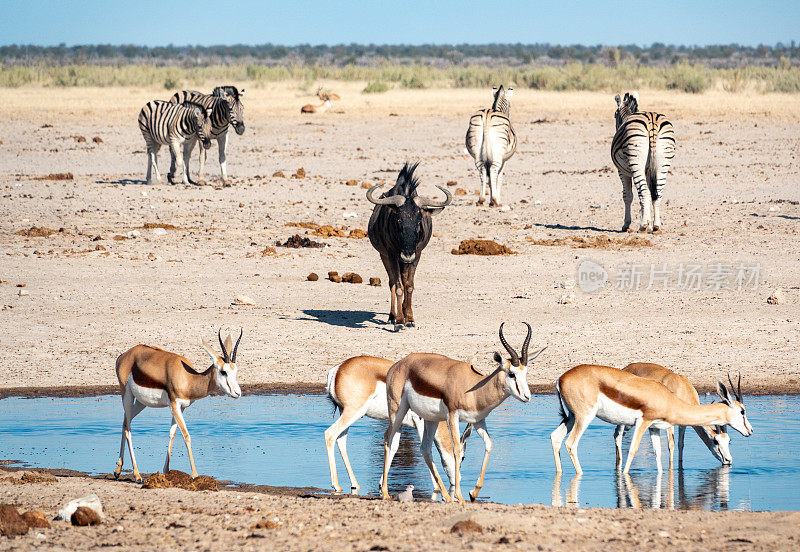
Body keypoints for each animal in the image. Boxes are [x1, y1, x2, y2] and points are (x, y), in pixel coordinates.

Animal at [612, 91, 676, 232]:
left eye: (614, 115)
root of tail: (652, 121)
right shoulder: (648, 171)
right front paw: (648, 221)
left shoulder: (622, 171)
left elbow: (628, 196)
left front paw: (627, 224)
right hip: (663, 164)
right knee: (657, 193)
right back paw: (656, 225)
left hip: (636, 163)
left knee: (644, 193)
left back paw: (642, 226)